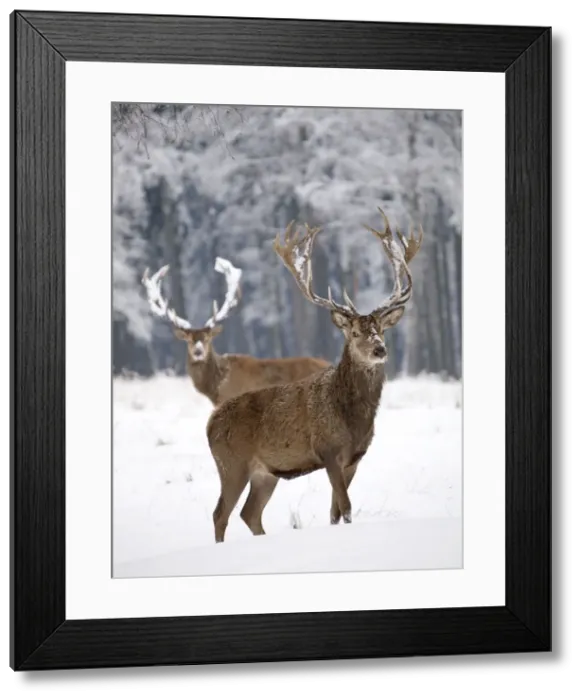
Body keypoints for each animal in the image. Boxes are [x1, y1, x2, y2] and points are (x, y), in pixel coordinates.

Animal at [205, 208, 423, 543]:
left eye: (382, 329)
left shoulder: (354, 458)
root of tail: (209, 424)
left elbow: (335, 512)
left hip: (265, 473)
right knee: (220, 514)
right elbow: (346, 507)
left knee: (249, 513)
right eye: (355, 332)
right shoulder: (329, 451)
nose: (380, 349)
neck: (353, 419)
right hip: (231, 463)